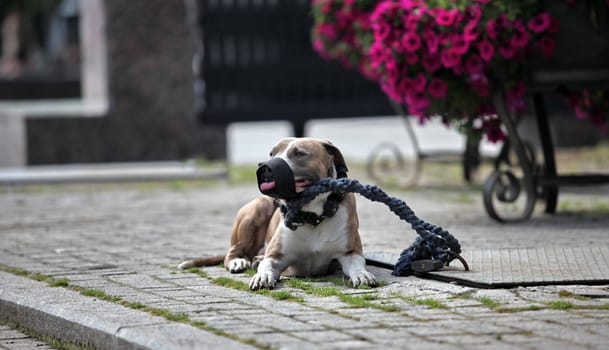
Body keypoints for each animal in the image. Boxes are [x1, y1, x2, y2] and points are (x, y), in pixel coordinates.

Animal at [177, 137, 376, 290]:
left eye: (299, 153)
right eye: (272, 154)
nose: (265, 168)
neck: (312, 216)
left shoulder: (350, 252)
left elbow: (358, 265)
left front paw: (363, 275)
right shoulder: (276, 255)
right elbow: (267, 264)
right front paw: (262, 276)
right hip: (257, 209)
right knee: (232, 253)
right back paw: (239, 262)